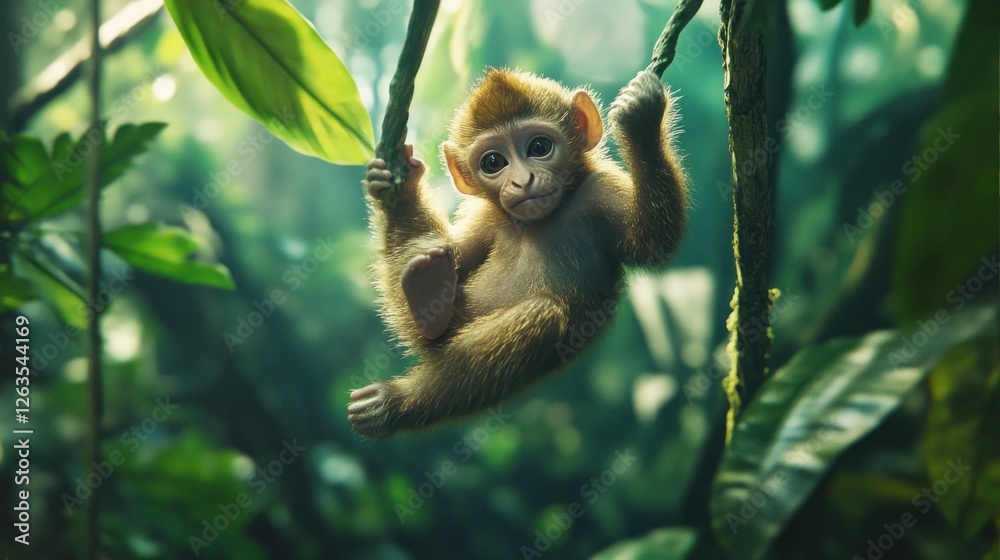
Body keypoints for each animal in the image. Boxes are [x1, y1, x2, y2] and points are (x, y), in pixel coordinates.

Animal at [349, 69, 686, 439]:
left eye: (539, 147)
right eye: (493, 162)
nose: (523, 181)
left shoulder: (600, 190)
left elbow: (652, 244)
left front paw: (641, 116)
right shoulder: (485, 219)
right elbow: (453, 252)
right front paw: (394, 181)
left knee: (541, 315)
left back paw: (394, 402)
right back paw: (427, 291)